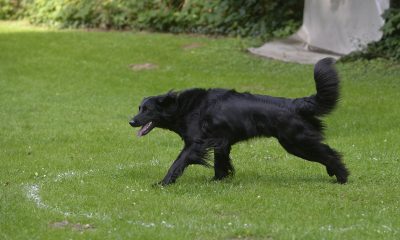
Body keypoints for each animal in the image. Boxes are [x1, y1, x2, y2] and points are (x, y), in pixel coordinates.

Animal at [130, 57, 348, 186]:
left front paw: (163, 183)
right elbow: (221, 162)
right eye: (139, 108)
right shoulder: (221, 141)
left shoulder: (196, 144)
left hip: (296, 141)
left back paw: (342, 176)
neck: (185, 107)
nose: (131, 121)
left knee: (330, 154)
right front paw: (219, 180)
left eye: (147, 110)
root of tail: (295, 104)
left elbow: (178, 163)